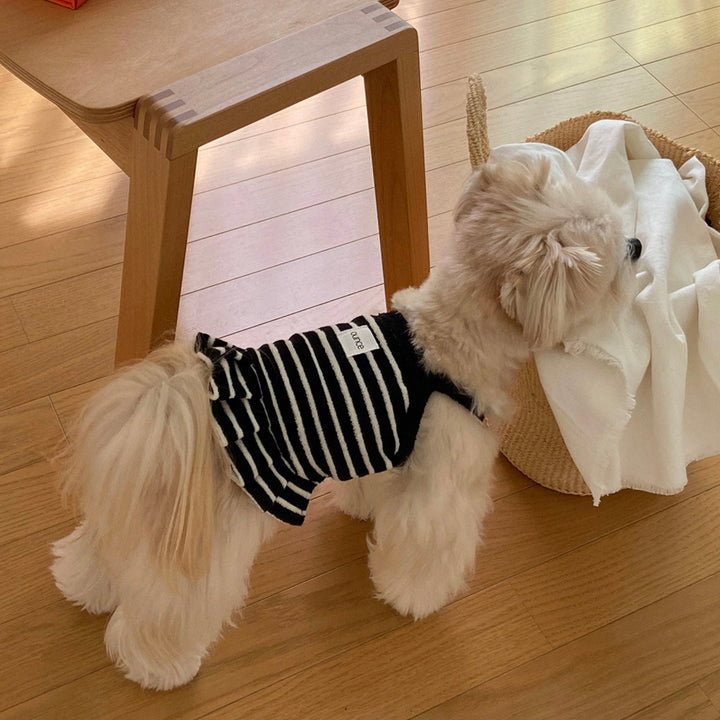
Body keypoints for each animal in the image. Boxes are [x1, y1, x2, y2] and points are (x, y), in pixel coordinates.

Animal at [51, 152, 641, 690]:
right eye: (615, 259)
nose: (638, 246)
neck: (441, 341)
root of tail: (184, 402)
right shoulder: (442, 483)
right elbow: (426, 543)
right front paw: (413, 597)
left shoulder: (381, 445)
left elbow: (374, 486)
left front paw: (363, 512)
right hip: (207, 543)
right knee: (162, 610)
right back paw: (159, 669)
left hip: (146, 512)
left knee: (105, 549)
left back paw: (80, 585)